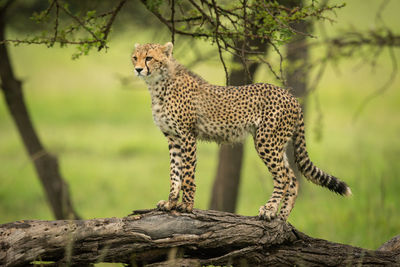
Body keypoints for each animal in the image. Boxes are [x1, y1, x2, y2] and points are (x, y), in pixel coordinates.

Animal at [131, 42, 350, 222]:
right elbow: (174, 172)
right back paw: (282, 216)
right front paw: (170, 203)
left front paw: (186, 205)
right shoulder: (173, 138)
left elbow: (187, 174)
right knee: (293, 178)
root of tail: (290, 95)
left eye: (149, 58)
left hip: (266, 140)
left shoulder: (187, 136)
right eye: (135, 57)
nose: (138, 69)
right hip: (277, 144)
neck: (159, 83)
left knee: (283, 177)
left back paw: (269, 210)